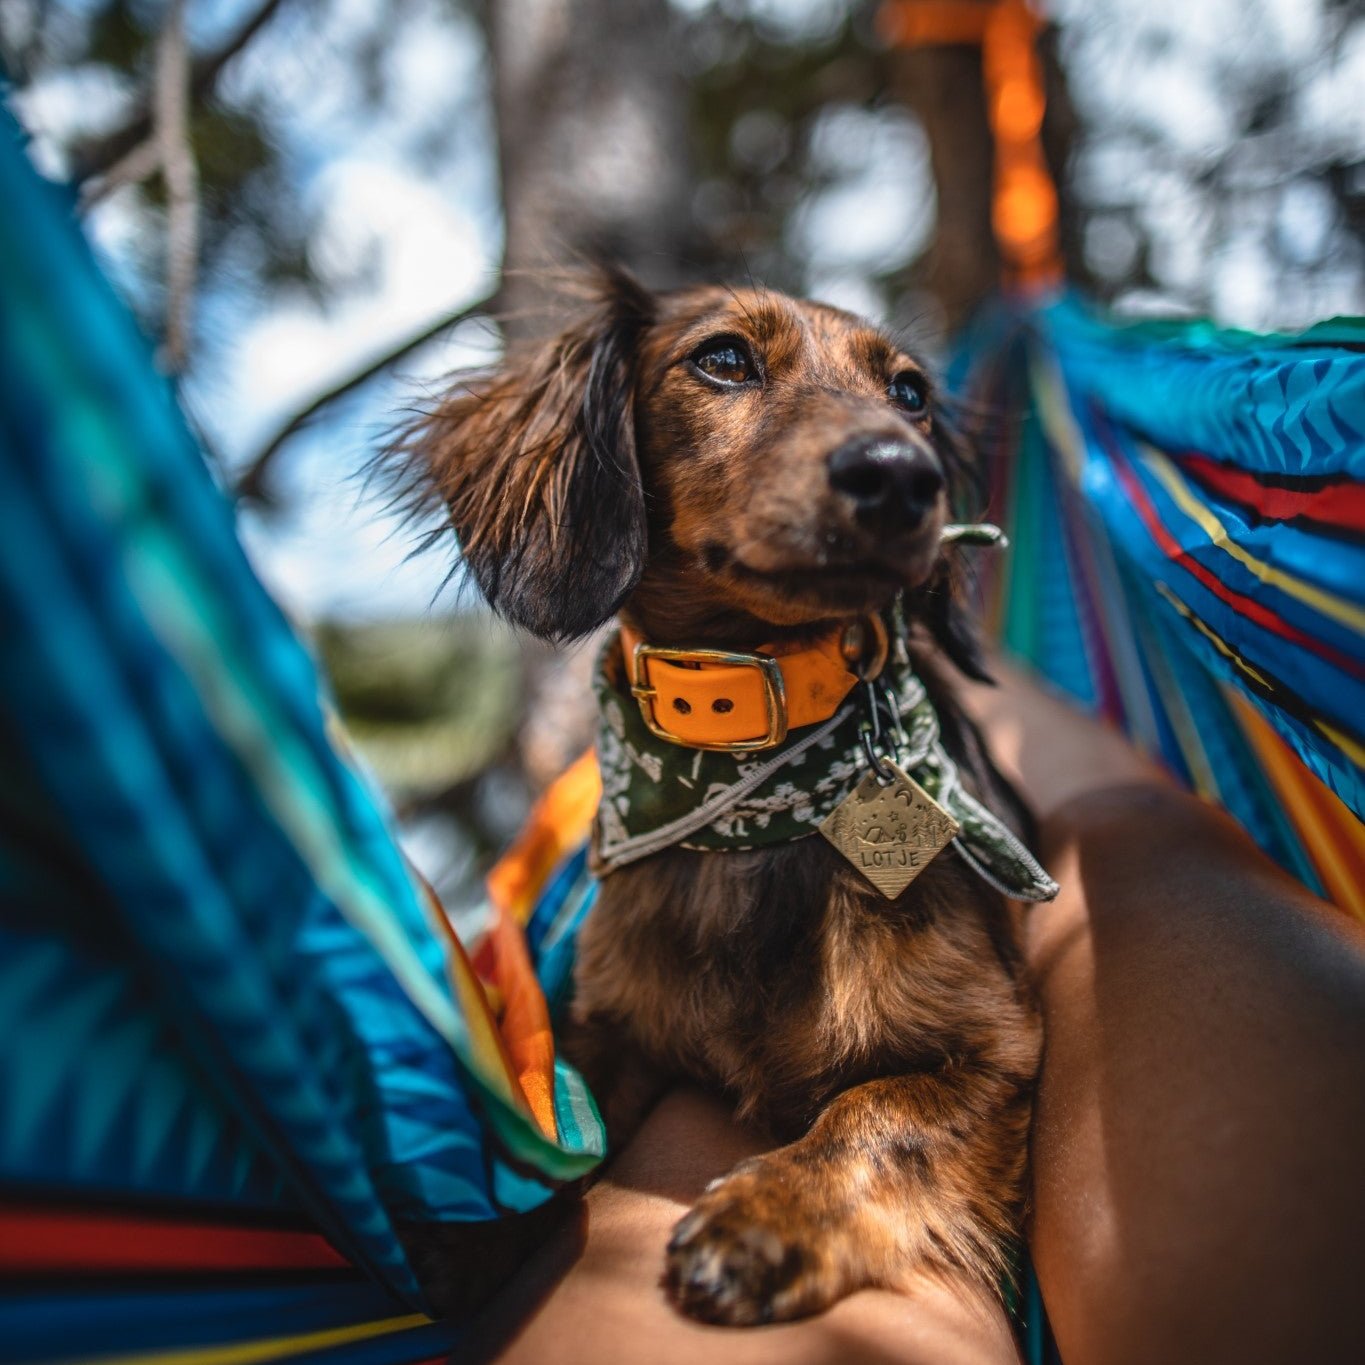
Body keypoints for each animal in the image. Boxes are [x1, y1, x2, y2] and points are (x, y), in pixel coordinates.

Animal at [398, 266, 1037, 1321]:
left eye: (907, 392)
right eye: (724, 359)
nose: (901, 473)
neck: (745, 788)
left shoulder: (998, 1048)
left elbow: (876, 1107)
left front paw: (768, 1213)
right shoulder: (607, 1024)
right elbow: (564, 1116)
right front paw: (477, 1231)